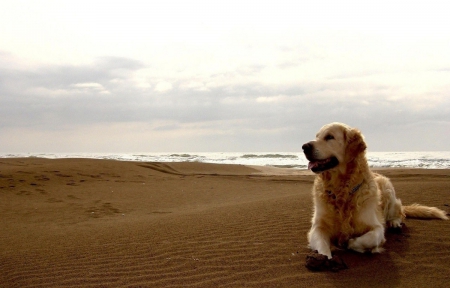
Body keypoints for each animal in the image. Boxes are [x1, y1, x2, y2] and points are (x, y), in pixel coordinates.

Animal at [302, 122, 446, 258]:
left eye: (329, 137)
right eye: (317, 136)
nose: (304, 146)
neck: (342, 191)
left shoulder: (376, 227)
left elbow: (369, 239)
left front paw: (349, 242)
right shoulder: (317, 228)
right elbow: (322, 247)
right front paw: (325, 258)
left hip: (388, 190)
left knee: (400, 213)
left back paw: (394, 223)